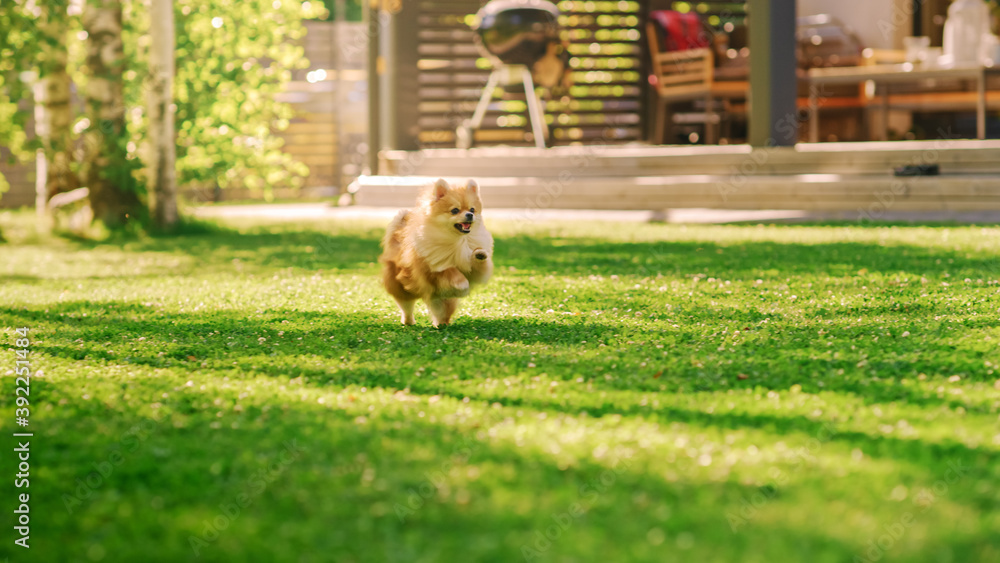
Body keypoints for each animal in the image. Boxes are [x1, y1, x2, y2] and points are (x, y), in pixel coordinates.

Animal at [378, 178, 492, 328]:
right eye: (455, 210)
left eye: (472, 209)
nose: (470, 215)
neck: (458, 240)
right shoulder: (430, 270)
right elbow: (450, 271)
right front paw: (462, 285)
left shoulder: (472, 271)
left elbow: (477, 267)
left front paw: (479, 254)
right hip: (403, 288)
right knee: (406, 306)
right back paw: (408, 321)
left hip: (441, 300)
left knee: (441, 312)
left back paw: (441, 324)